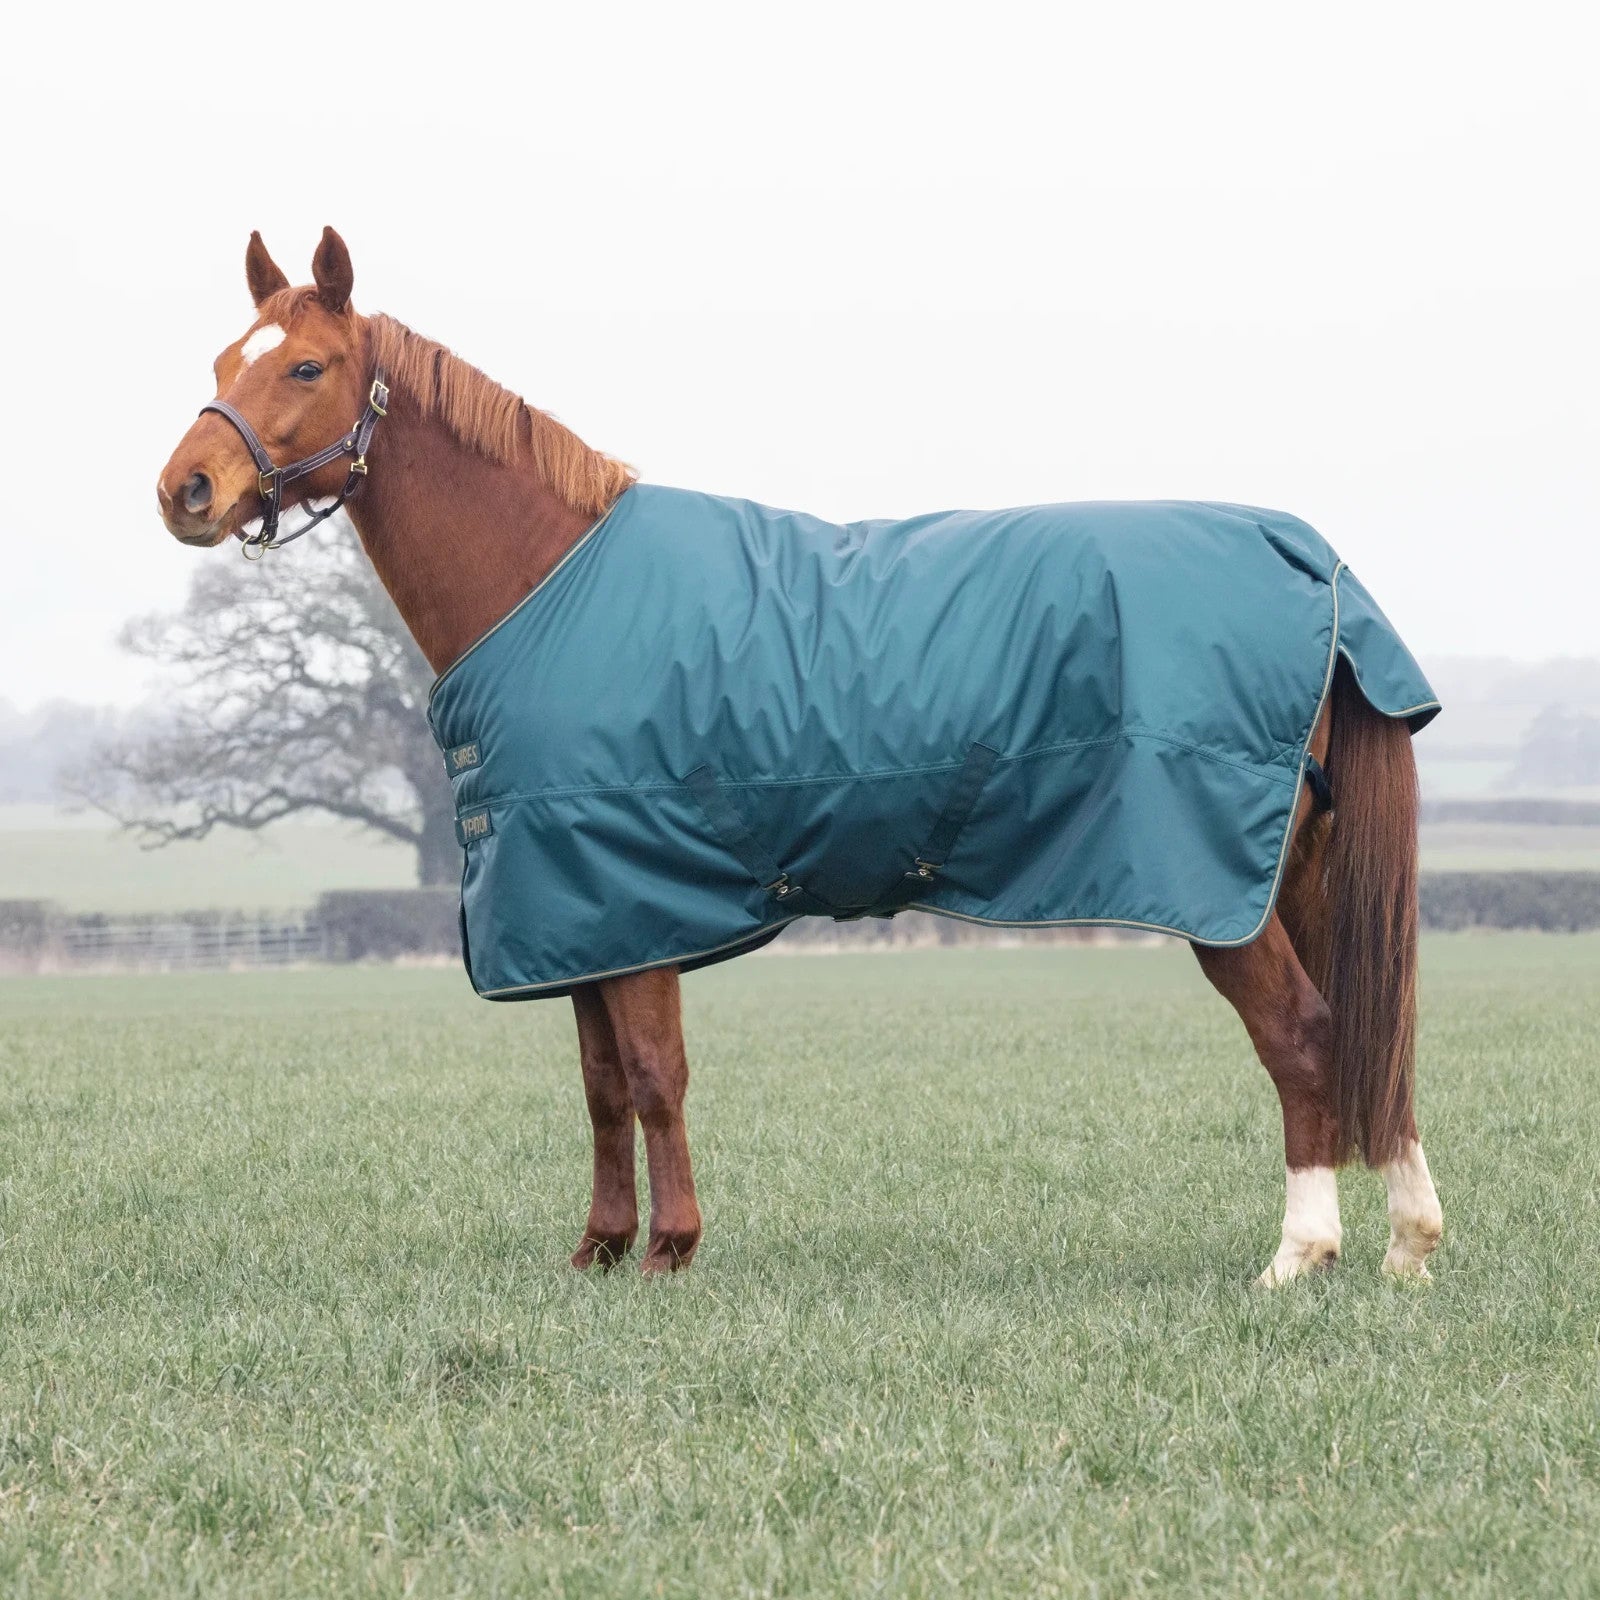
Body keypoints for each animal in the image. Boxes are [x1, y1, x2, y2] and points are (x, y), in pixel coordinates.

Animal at [156, 228, 1444, 1285]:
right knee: (1370, 1036)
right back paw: (1408, 1244)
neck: (549, 582)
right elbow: (600, 1086)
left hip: (1224, 889)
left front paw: (670, 1249)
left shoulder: (630, 891)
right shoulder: (582, 910)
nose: (186, 490)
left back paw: (1300, 1254)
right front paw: (599, 1247)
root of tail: (1304, 558)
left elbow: (654, 1074)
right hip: (1302, 873)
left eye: (304, 368)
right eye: (222, 361)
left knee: (1306, 1038)